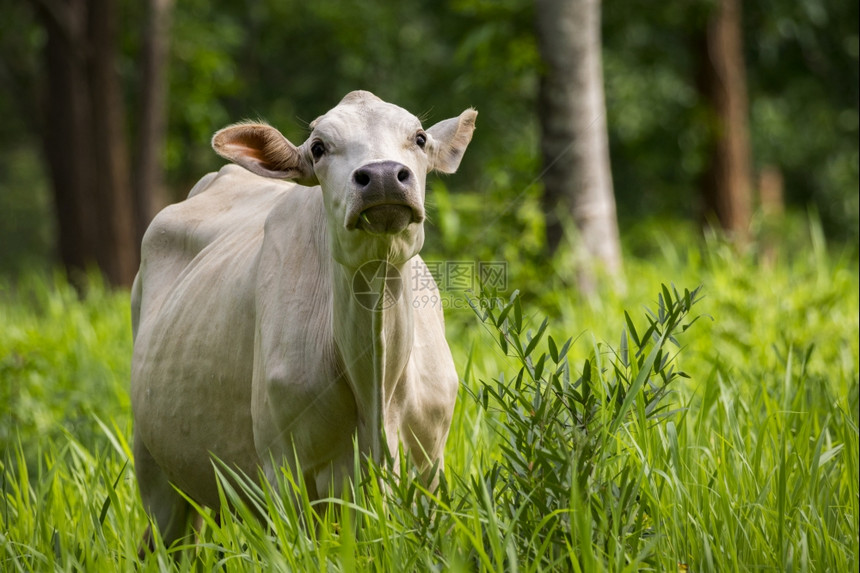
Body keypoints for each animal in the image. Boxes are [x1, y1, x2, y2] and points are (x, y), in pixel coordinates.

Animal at [133, 90, 478, 548]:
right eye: (318, 148)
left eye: (419, 138)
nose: (383, 175)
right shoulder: (286, 472)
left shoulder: (429, 468)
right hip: (155, 472)